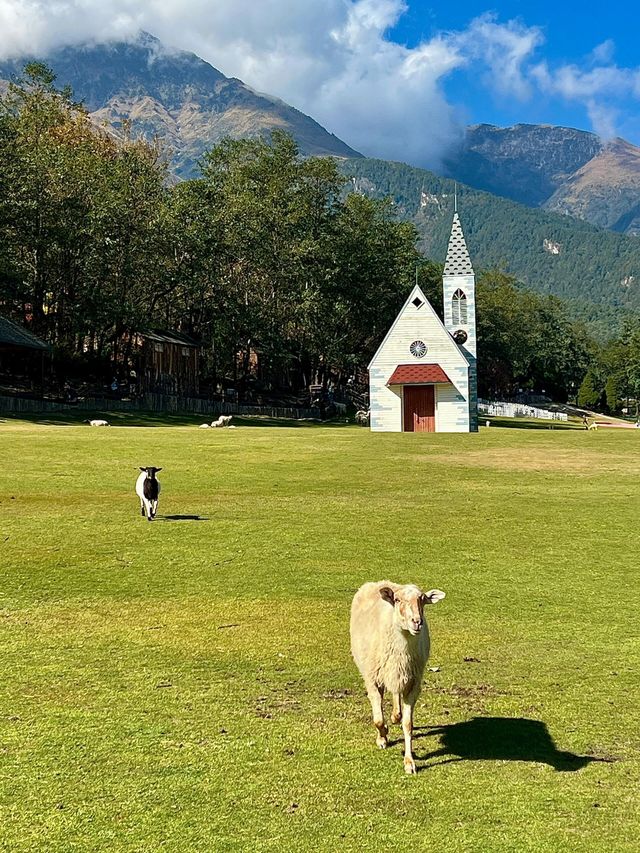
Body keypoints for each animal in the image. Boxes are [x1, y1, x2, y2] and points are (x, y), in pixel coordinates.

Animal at [350, 580, 444, 772]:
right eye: (397, 599)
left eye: (422, 599)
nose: (417, 622)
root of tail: (380, 582)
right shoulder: (372, 679)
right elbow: (378, 720)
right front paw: (383, 736)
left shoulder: (413, 683)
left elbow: (408, 725)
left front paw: (409, 762)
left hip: (399, 674)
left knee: (395, 693)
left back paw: (395, 715)